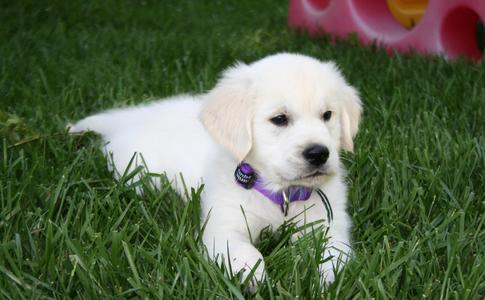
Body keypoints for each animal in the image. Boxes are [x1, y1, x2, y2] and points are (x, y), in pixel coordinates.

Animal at [70, 53, 362, 290]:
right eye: (279, 119)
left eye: (327, 115)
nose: (319, 154)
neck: (280, 195)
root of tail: (132, 118)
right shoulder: (223, 227)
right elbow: (246, 252)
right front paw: (253, 277)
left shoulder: (330, 226)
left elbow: (329, 255)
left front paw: (322, 281)